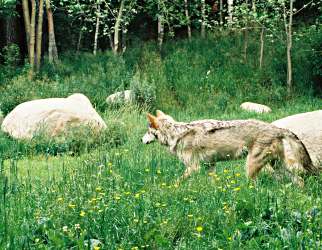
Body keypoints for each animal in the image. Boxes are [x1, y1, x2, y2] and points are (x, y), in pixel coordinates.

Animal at [142, 110, 318, 187]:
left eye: (147, 131)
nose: (140, 139)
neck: (176, 134)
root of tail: (277, 128)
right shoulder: (209, 166)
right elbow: (212, 184)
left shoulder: (194, 167)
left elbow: (177, 181)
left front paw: (170, 189)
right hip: (277, 166)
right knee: (299, 180)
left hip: (251, 167)